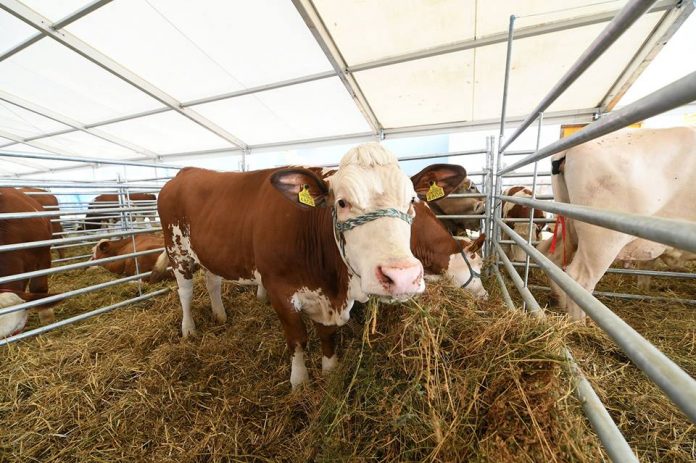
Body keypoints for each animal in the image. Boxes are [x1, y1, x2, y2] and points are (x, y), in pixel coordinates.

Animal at [157, 143, 467, 388]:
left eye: (412, 200)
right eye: (341, 202)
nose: (401, 276)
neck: (334, 285)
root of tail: (185, 172)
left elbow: (327, 334)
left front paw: (330, 370)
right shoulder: (279, 290)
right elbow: (297, 339)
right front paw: (300, 382)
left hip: (208, 253)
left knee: (213, 282)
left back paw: (220, 315)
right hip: (177, 250)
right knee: (185, 291)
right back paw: (189, 329)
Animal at [538, 127, 696, 321]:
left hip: (570, 221)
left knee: (553, 256)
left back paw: (561, 304)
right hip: (602, 236)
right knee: (580, 278)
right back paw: (579, 323)